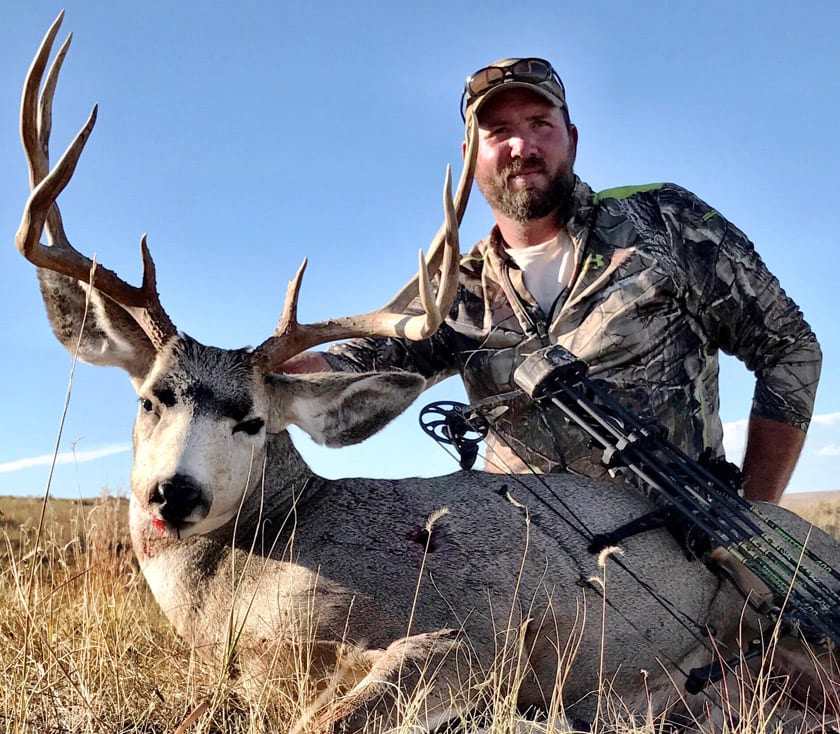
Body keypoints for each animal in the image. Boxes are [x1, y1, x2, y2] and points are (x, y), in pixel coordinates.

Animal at [15, 13, 840, 733]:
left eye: (252, 420)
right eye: (153, 399)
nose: (173, 493)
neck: (246, 574)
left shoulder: (469, 639)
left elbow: (329, 718)